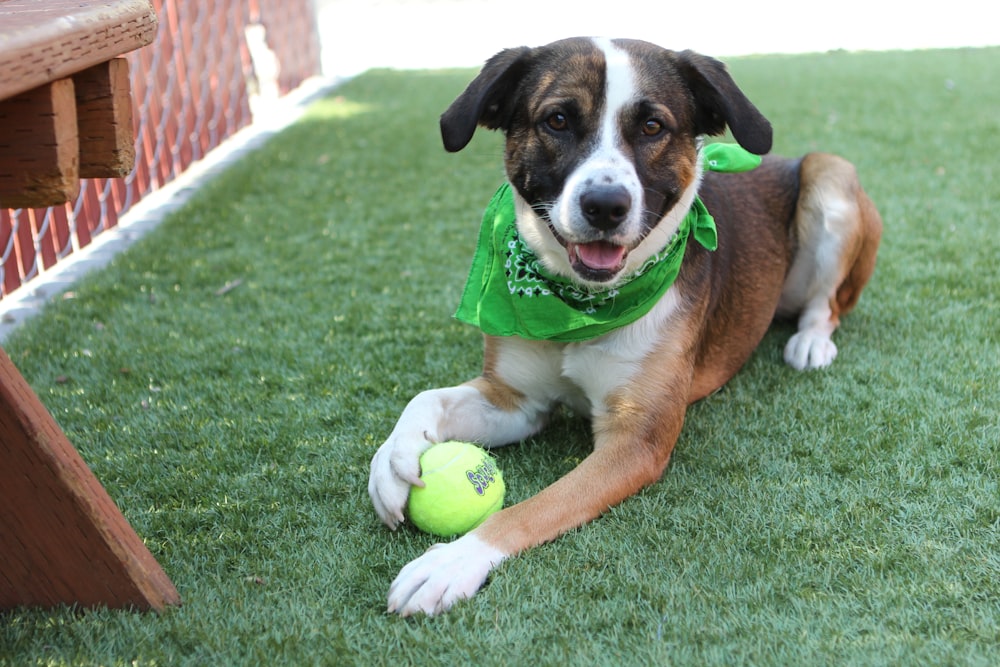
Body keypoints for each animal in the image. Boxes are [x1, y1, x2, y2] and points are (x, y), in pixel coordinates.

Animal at [368, 37, 884, 616]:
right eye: (558, 119)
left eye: (653, 126)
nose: (605, 205)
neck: (582, 307)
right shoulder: (518, 402)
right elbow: (426, 398)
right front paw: (392, 458)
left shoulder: (636, 441)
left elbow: (531, 509)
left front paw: (450, 561)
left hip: (830, 176)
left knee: (827, 303)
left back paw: (811, 342)